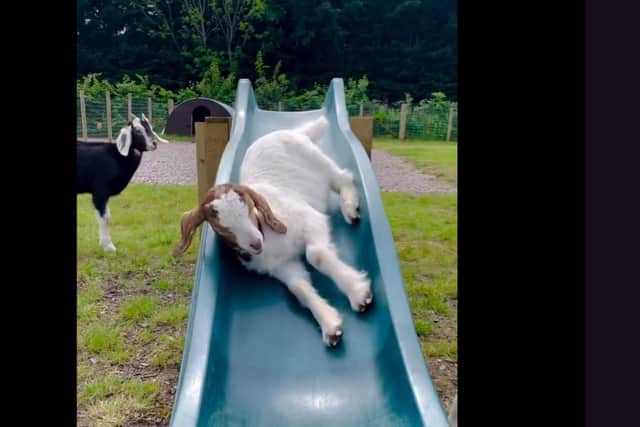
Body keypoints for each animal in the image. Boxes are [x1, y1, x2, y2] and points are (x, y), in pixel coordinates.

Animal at [77, 113, 168, 252]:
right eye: (137, 131)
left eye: (150, 128)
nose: (154, 144)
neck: (117, 157)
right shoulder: (100, 192)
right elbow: (105, 218)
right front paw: (108, 246)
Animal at [173, 116, 372, 347]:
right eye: (220, 226)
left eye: (250, 208)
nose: (255, 243)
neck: (269, 237)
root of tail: (297, 132)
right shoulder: (282, 266)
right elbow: (298, 287)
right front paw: (330, 325)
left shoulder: (311, 222)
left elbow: (317, 256)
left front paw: (359, 294)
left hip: (320, 163)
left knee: (343, 178)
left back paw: (350, 208)